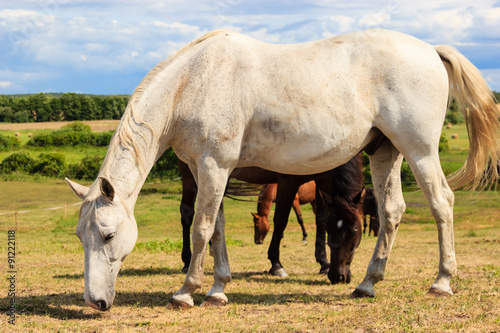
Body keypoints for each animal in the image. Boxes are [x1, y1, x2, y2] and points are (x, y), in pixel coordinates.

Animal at [66, 27, 500, 308]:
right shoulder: (212, 172)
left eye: (107, 235)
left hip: (419, 150)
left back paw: (441, 282)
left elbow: (203, 229)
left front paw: (187, 292)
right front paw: (218, 289)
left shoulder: (214, 168)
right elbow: (217, 229)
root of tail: (431, 50)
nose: (95, 302)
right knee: (392, 211)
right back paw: (366, 284)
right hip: (385, 153)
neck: (194, 82)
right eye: (81, 237)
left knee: (441, 203)